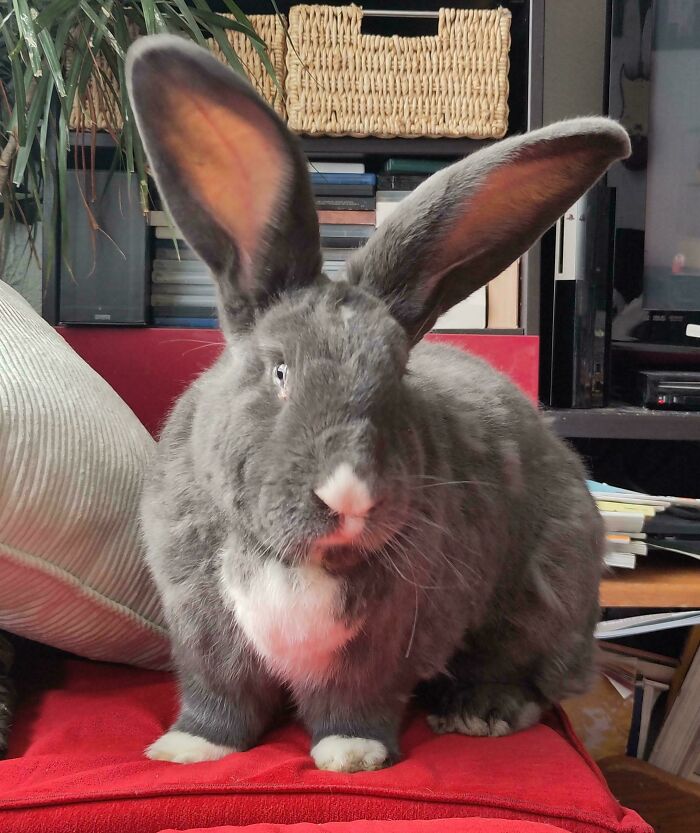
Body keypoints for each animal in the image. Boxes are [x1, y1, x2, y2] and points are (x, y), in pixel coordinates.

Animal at [127, 35, 630, 773]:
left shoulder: (390, 639)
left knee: (538, 680)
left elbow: (357, 701)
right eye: (279, 372)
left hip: (547, 599)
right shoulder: (204, 628)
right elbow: (220, 696)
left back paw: (479, 712)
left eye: (396, 379)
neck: (298, 559)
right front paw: (186, 749)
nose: (349, 495)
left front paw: (352, 755)